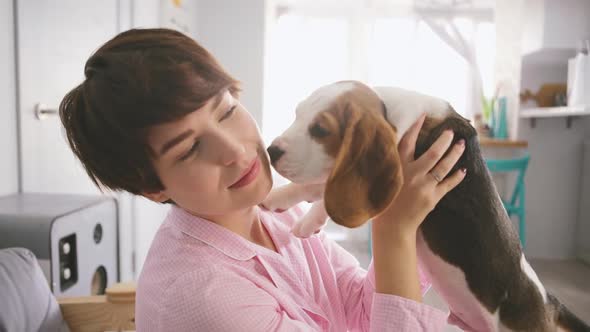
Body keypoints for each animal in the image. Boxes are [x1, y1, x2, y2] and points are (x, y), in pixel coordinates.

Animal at [264, 81, 590, 332]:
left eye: (320, 130)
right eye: (297, 114)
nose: (271, 151)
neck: (388, 109)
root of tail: (548, 301)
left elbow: (322, 188)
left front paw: (309, 219)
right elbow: (314, 185)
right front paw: (278, 198)